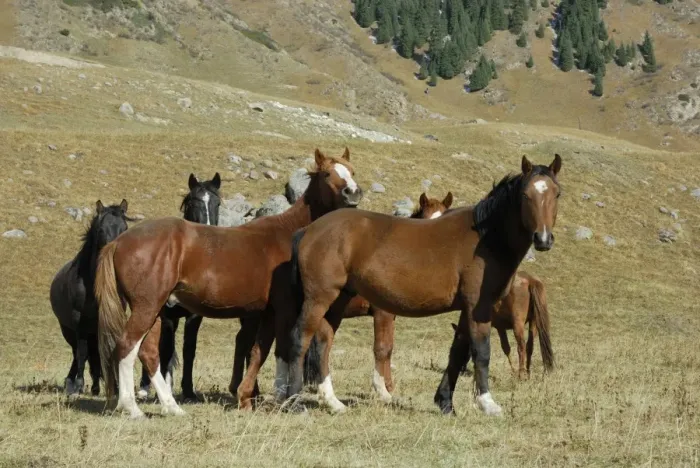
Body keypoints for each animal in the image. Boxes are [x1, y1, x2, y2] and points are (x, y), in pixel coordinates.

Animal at [49, 199, 131, 396]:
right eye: (101, 229)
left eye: (124, 227)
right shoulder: (79, 322)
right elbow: (82, 353)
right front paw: (78, 385)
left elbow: (108, 351)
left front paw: (117, 387)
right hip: (68, 329)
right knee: (77, 352)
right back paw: (71, 383)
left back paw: (94, 387)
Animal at [137, 173, 221, 402]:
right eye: (193, 202)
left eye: (217, 203)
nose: (208, 230)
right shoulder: (168, 317)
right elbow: (166, 350)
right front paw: (164, 391)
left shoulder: (194, 316)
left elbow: (188, 349)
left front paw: (188, 390)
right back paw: (145, 387)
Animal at [301, 191, 455, 402]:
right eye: (425, 220)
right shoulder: (383, 313)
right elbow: (382, 348)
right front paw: (383, 390)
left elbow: (388, 348)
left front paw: (388, 386)